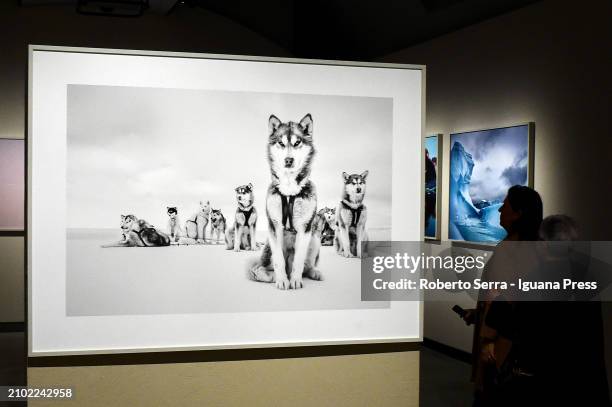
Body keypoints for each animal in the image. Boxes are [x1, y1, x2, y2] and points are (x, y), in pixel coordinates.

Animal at [249, 113, 326, 288]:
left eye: (297, 143)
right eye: (281, 143)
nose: (288, 160)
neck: (290, 191)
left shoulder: (305, 228)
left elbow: (299, 259)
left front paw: (295, 280)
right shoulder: (275, 226)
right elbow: (279, 260)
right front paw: (283, 281)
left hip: (315, 239)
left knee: (307, 265)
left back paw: (313, 272)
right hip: (268, 247)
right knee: (260, 267)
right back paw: (269, 275)